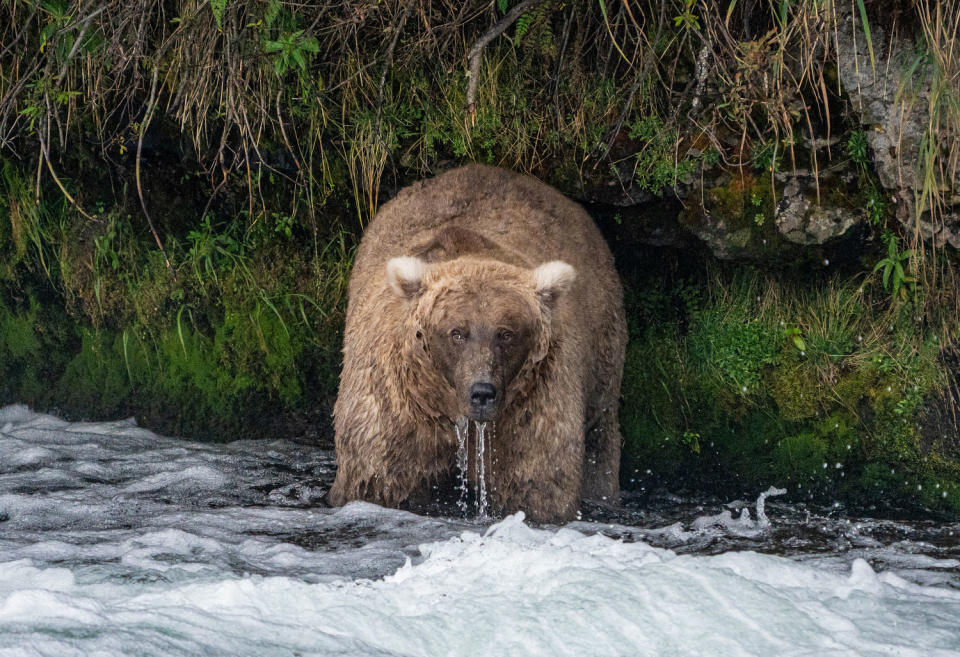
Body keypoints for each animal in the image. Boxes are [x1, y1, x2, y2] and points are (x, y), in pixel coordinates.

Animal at [328, 164, 632, 524]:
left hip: (603, 349)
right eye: (457, 332)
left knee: (600, 435)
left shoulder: (531, 409)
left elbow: (537, 484)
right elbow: (377, 478)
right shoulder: (397, 407)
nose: (482, 392)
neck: (455, 412)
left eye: (507, 333)